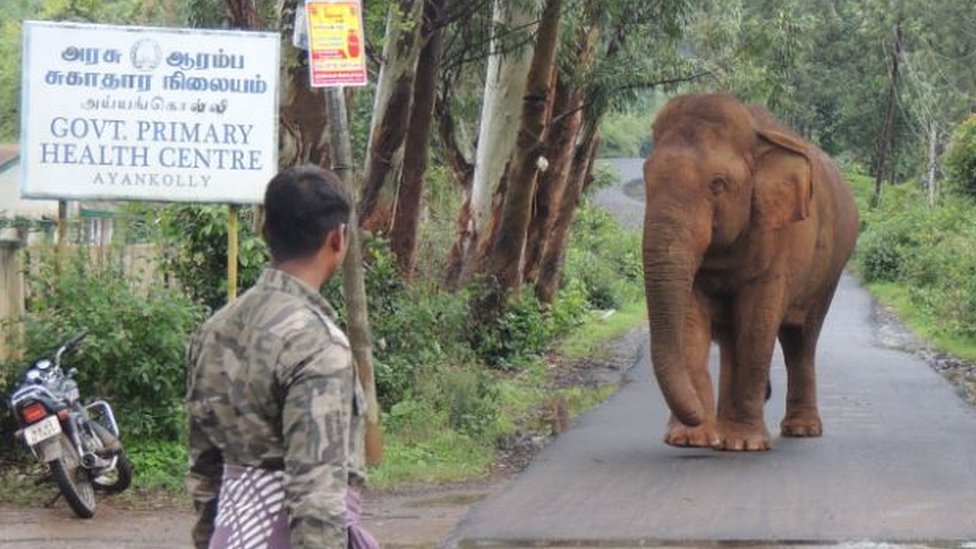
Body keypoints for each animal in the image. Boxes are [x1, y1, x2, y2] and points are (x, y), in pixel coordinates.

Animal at [644, 93, 856, 450]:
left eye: (718, 184)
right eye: (646, 178)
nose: (696, 414)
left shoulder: (778, 237)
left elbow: (757, 322)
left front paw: (744, 444)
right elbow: (690, 318)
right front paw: (690, 439)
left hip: (830, 270)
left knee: (801, 339)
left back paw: (800, 430)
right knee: (735, 339)